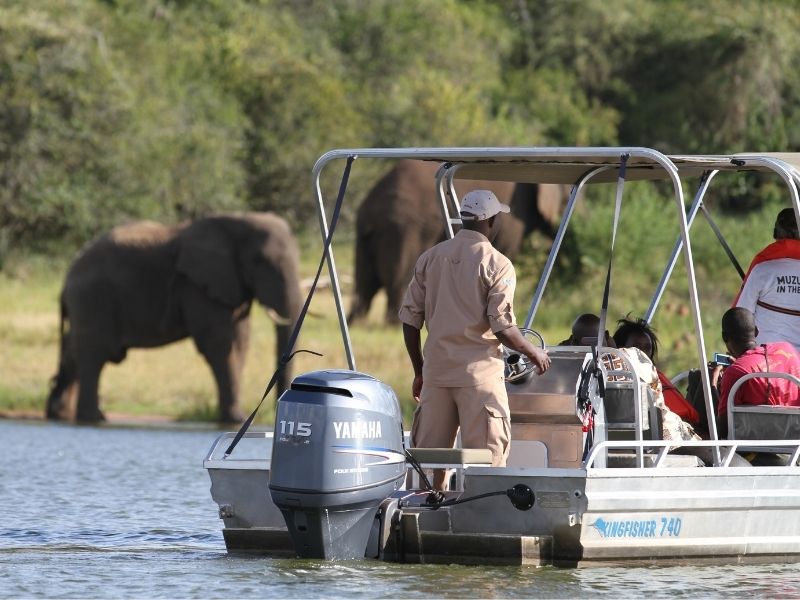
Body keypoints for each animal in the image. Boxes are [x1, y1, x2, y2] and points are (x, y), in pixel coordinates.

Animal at [47, 211, 304, 422]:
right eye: (259, 261)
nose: (275, 411)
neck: (236, 221)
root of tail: (66, 279)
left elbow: (240, 342)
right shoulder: (197, 286)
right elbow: (220, 344)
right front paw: (235, 419)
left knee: (74, 351)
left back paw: (60, 414)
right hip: (92, 299)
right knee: (93, 355)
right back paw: (93, 418)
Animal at [350, 157, 576, 322]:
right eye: (567, 200)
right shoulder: (514, 220)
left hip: (366, 231)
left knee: (365, 283)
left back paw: (357, 323)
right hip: (404, 227)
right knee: (399, 275)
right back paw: (394, 324)